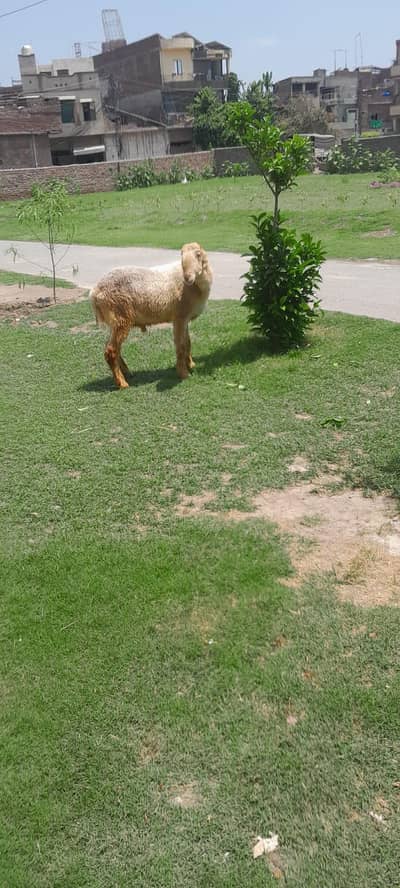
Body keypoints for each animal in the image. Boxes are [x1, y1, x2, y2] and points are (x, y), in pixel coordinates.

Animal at [91, 242, 213, 389]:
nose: (187, 277)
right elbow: (181, 345)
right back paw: (122, 383)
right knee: (111, 350)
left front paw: (191, 365)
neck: (195, 287)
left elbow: (188, 342)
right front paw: (183, 373)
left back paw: (127, 373)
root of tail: (94, 292)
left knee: (113, 348)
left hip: (114, 321)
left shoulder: (185, 318)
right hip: (121, 316)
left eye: (198, 254)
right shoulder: (179, 316)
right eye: (181, 255)